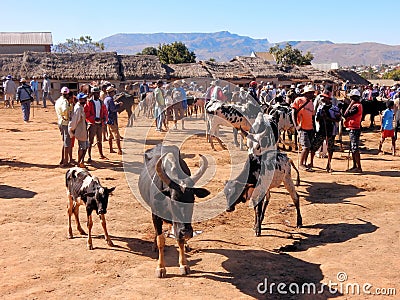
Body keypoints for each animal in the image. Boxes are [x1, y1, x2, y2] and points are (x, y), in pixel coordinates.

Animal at [139, 144, 211, 278]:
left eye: (193, 199)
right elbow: (161, 240)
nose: (187, 232)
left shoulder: (179, 225)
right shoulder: (156, 216)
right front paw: (160, 267)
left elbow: (179, 239)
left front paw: (184, 265)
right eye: (173, 199)